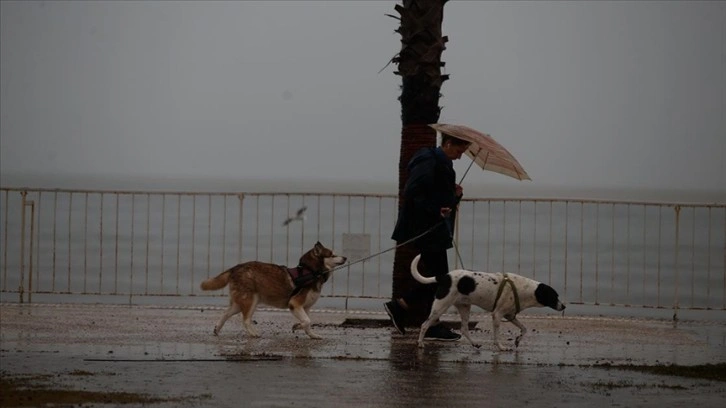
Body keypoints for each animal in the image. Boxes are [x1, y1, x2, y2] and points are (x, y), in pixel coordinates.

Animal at [199, 241, 346, 340]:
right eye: (332, 255)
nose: (345, 257)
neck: (311, 272)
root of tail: (235, 267)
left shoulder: (305, 307)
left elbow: (307, 322)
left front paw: (310, 333)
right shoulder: (295, 304)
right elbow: (307, 321)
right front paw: (298, 326)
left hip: (239, 303)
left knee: (225, 314)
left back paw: (217, 329)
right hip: (251, 301)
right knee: (245, 319)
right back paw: (253, 333)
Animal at [412, 255, 564, 350]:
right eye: (554, 296)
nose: (563, 306)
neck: (524, 290)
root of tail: (444, 276)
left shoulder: (510, 315)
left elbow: (524, 329)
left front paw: (517, 340)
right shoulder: (497, 315)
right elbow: (497, 335)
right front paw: (501, 347)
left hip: (464, 307)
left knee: (464, 329)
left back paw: (475, 344)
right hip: (440, 306)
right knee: (424, 325)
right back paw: (420, 343)